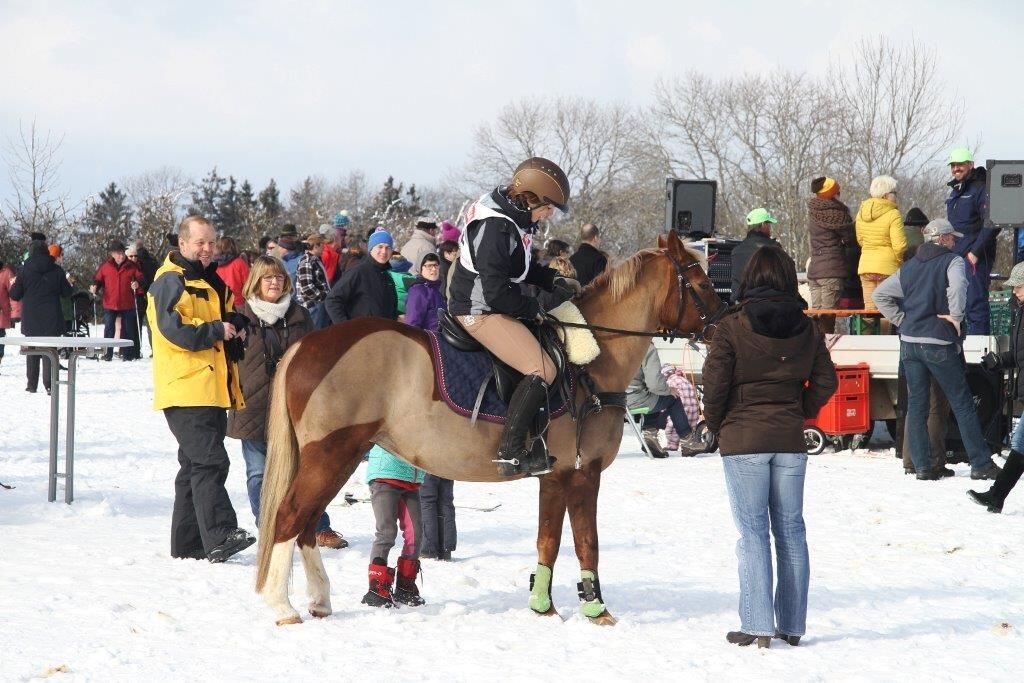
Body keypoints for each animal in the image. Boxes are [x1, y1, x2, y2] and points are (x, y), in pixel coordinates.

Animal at [251, 232, 724, 626]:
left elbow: (548, 541)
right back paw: (283, 606)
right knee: (289, 517)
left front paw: (544, 606)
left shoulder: (555, 476)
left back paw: (319, 601)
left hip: (339, 456)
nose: (725, 324)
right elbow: (584, 542)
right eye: (702, 284)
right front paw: (595, 610)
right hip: (329, 454)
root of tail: (307, 344)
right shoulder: (580, 474)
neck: (589, 361)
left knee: (306, 524)